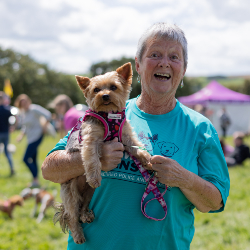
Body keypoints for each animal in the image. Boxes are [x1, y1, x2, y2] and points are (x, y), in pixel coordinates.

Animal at [53, 62, 151, 244]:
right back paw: (78, 235)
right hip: (70, 192)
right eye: (96, 90)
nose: (105, 96)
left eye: (113, 87)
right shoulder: (91, 140)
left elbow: (135, 145)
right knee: (71, 215)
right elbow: (92, 160)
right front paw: (94, 177)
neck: (110, 115)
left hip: (89, 193)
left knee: (83, 205)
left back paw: (86, 214)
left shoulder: (125, 136)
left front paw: (146, 157)